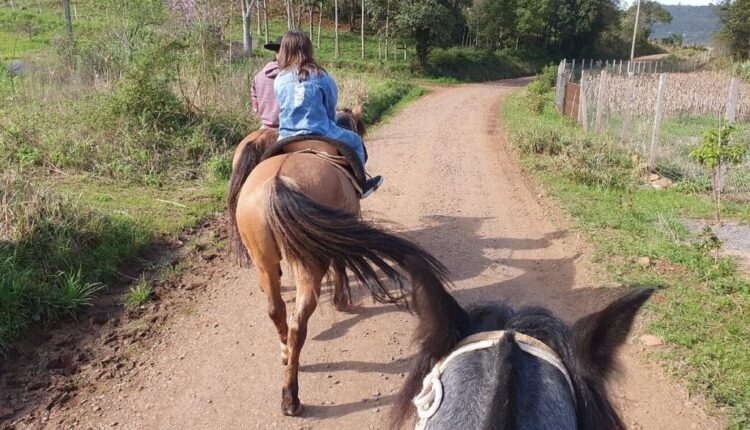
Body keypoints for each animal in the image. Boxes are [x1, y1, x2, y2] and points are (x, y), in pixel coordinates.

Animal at [226, 106, 450, 416]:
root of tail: (277, 183)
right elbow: (341, 266)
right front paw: (342, 301)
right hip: (309, 264)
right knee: (298, 323)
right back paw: (291, 397)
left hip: (264, 261)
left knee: (275, 310)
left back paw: (285, 353)